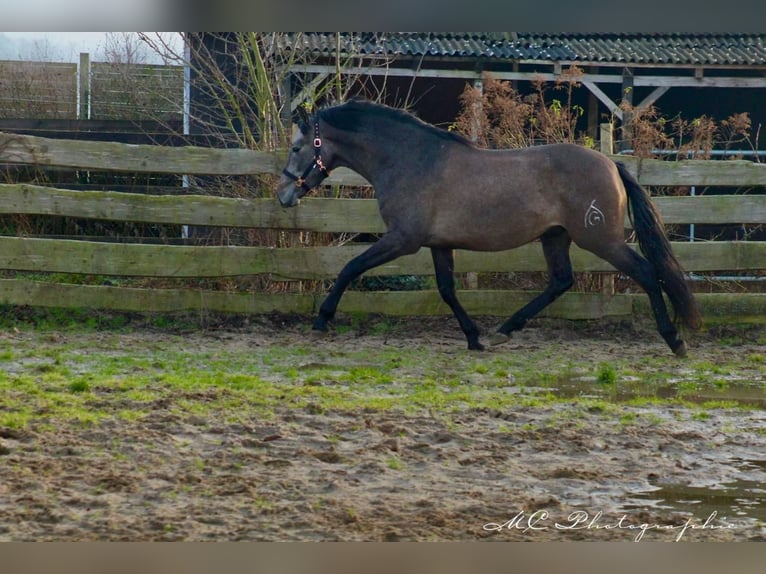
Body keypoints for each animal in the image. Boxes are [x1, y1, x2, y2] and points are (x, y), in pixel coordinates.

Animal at [276, 101, 704, 358]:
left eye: (297, 148)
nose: (283, 194)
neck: (411, 160)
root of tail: (611, 164)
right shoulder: (438, 244)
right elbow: (447, 290)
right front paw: (474, 337)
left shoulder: (403, 240)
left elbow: (350, 267)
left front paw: (322, 320)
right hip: (556, 237)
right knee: (560, 281)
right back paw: (504, 330)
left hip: (601, 239)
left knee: (646, 273)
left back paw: (675, 340)